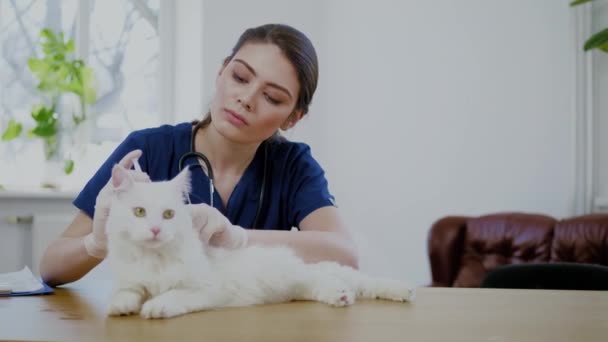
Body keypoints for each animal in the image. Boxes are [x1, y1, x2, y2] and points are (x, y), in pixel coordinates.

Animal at [107, 164, 416, 320]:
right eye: (139, 212)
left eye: (169, 214)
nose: (156, 229)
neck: (155, 261)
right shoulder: (132, 281)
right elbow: (127, 292)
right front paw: (121, 306)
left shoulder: (206, 288)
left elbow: (174, 294)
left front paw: (155, 306)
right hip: (301, 285)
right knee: (328, 285)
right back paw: (340, 296)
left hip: (302, 273)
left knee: (348, 282)